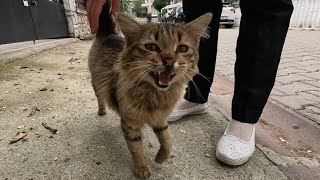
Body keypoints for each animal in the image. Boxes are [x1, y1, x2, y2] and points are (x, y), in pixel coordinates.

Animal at [88, 1, 212, 179]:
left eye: (182, 48)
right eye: (151, 47)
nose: (169, 61)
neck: (155, 94)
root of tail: (108, 33)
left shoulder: (160, 119)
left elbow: (167, 140)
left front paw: (160, 158)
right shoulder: (131, 123)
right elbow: (137, 149)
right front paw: (142, 169)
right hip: (96, 83)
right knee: (100, 97)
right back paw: (102, 110)